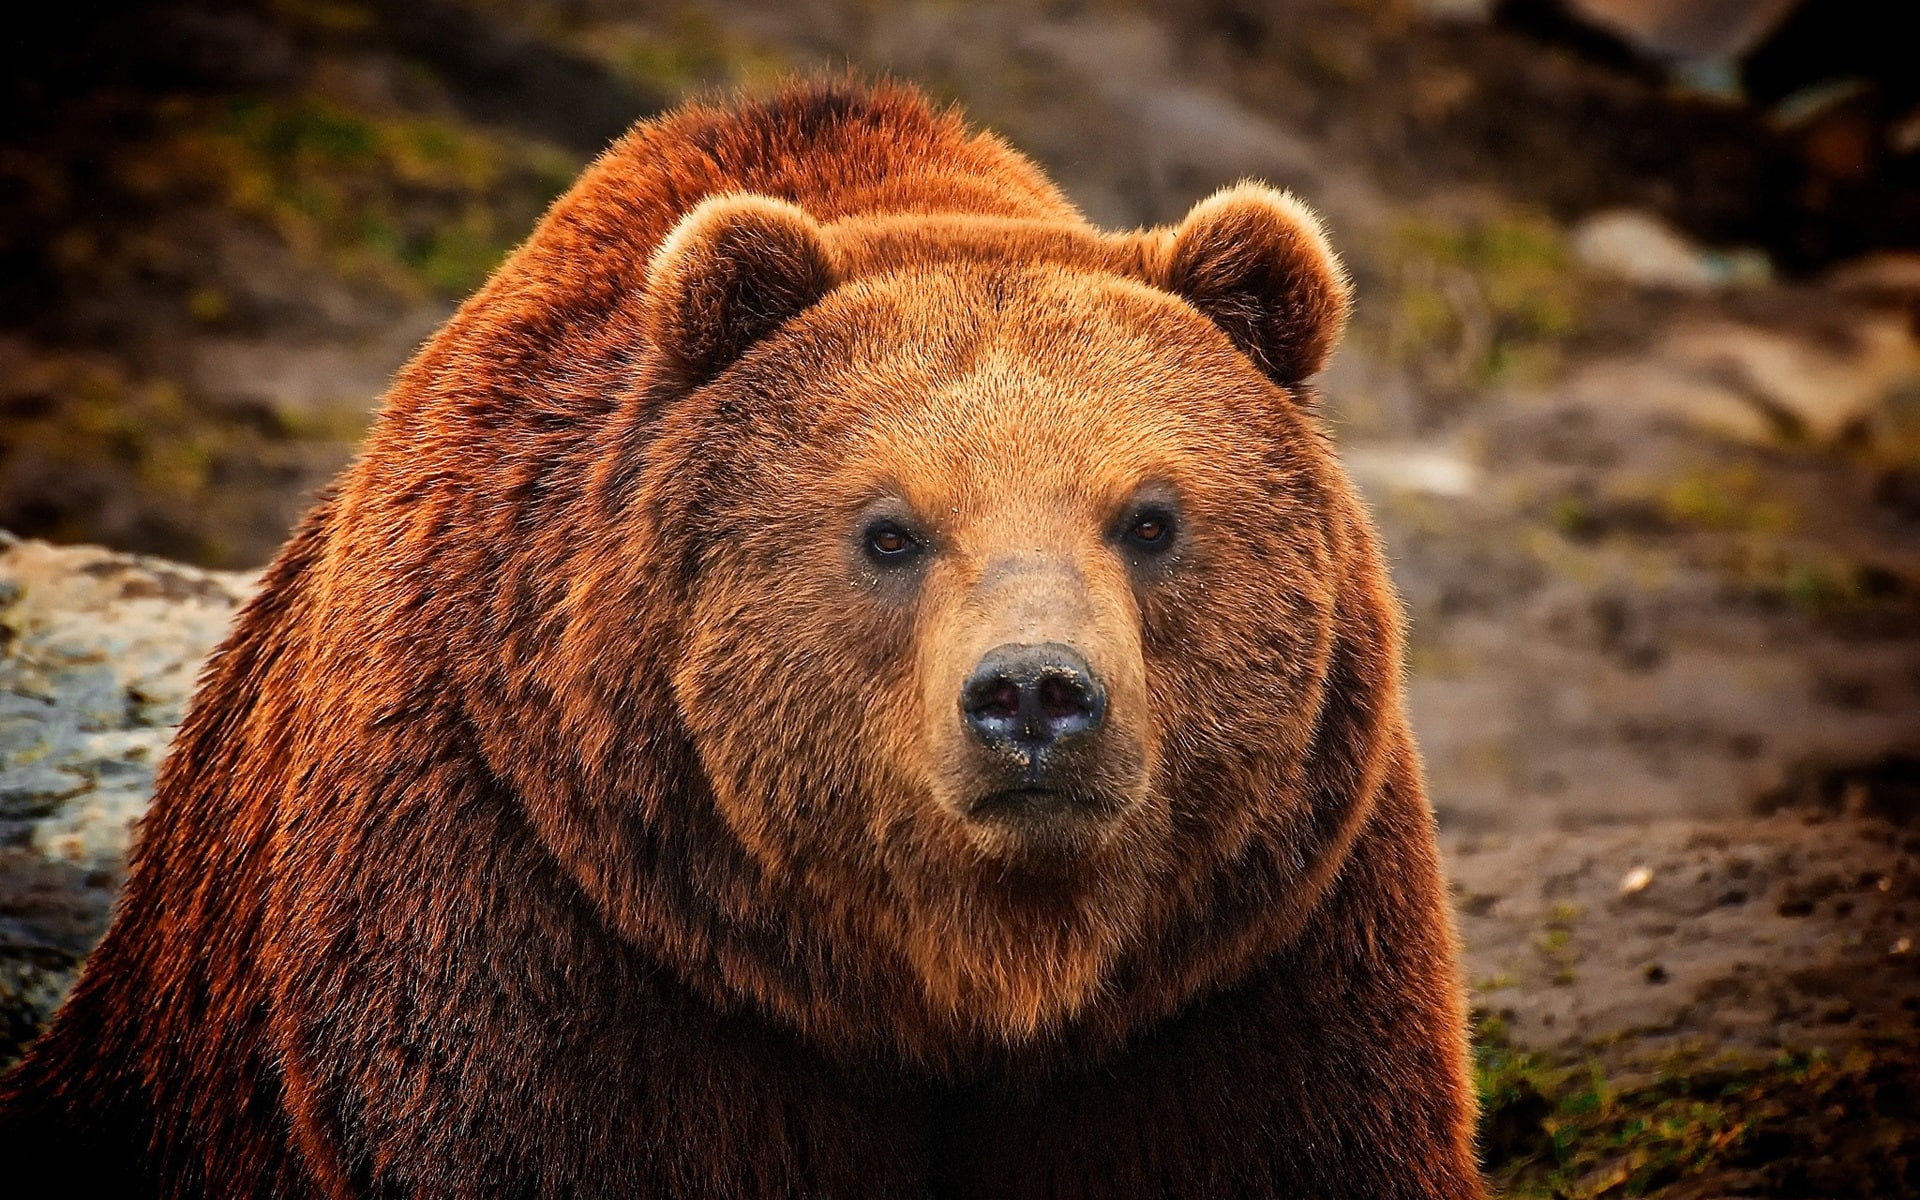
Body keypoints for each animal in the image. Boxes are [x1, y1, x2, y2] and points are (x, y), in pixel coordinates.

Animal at [0, 80, 1484, 1198]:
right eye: (889, 530)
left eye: (1153, 516)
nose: (1035, 696)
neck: (962, 976)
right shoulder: (555, 911)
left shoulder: (1243, 956)